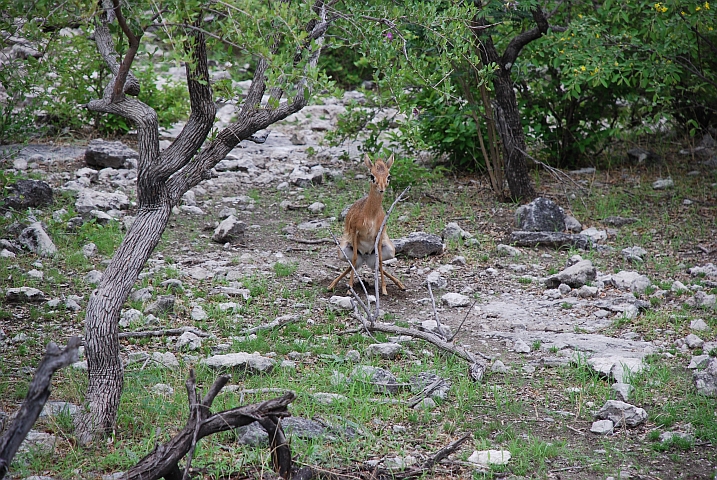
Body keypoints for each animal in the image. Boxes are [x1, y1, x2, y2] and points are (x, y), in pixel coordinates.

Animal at [328, 154, 406, 296]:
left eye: (388, 176)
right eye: (372, 175)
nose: (381, 189)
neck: (370, 217)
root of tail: (364, 256)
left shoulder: (378, 235)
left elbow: (379, 261)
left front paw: (384, 289)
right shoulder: (355, 232)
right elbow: (353, 259)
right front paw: (349, 289)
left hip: (390, 251)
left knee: (374, 264)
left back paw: (400, 284)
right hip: (342, 251)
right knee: (353, 264)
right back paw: (332, 285)